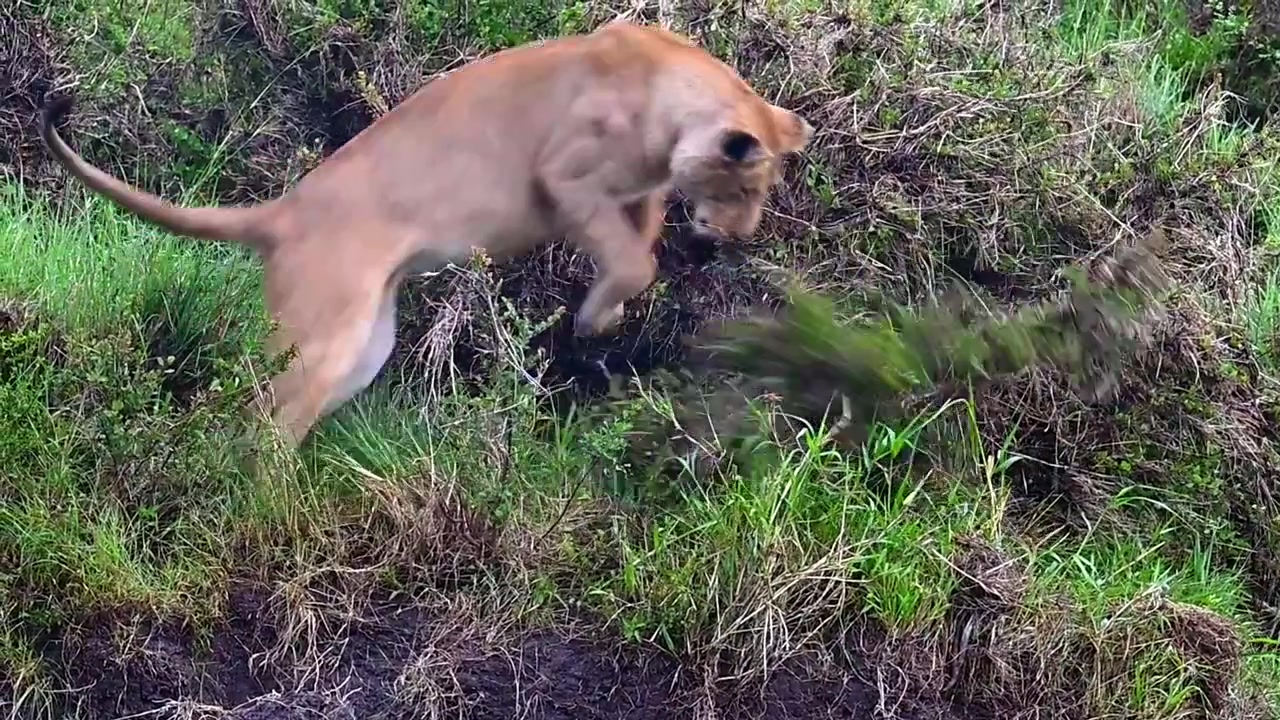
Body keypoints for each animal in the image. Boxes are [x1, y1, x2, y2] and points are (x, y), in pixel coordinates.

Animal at [40, 20, 813, 450]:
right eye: (745, 189)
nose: (736, 236)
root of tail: (283, 209)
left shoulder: (636, 189)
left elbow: (644, 233)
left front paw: (613, 308)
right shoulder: (564, 178)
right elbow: (631, 259)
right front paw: (597, 316)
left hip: (366, 347)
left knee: (281, 414)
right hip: (325, 339)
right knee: (259, 418)